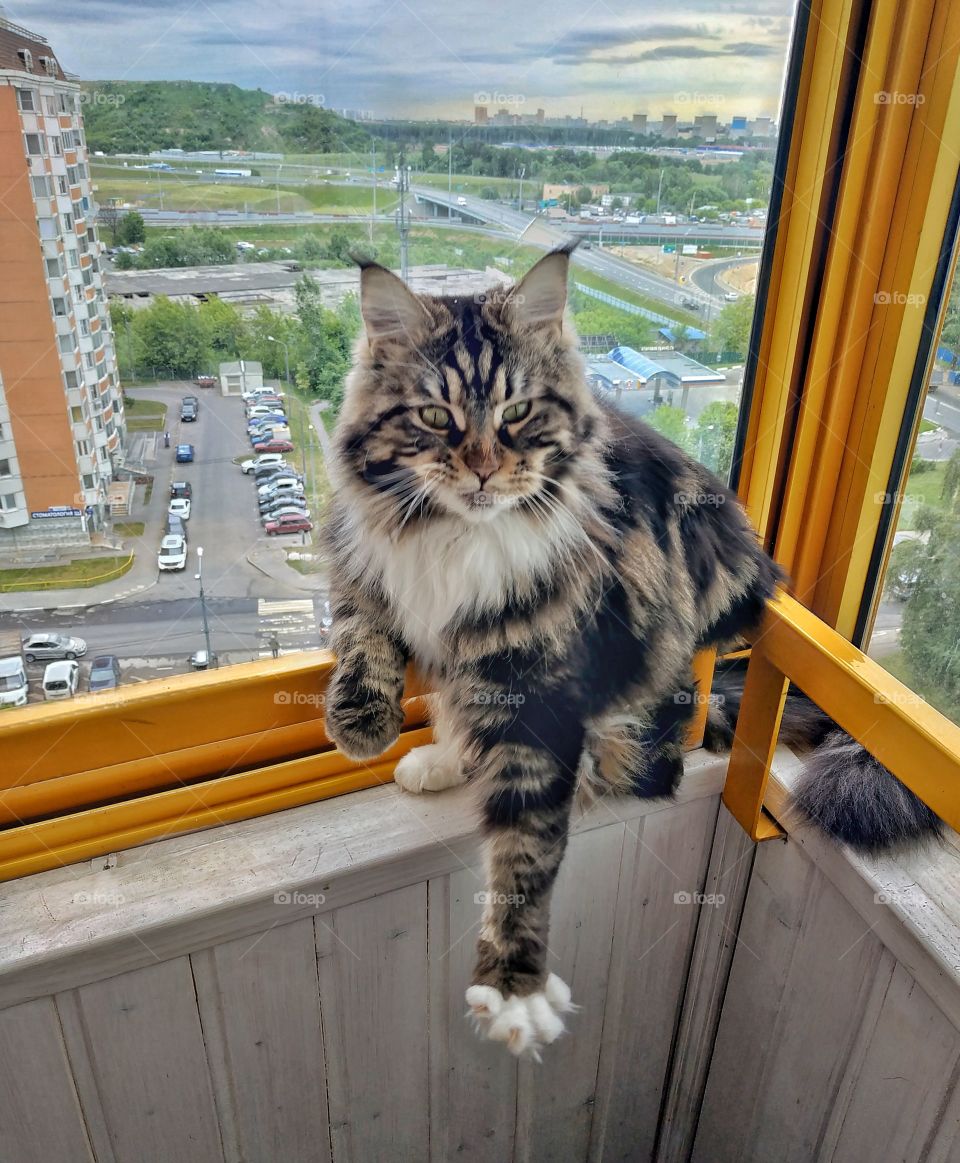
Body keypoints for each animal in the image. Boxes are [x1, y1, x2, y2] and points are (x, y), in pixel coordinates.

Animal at [321, 247, 935, 1065]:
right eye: (434, 417)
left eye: (517, 414)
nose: (482, 469)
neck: (460, 538)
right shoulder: (373, 571)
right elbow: (363, 635)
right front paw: (364, 725)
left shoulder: (541, 689)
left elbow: (522, 856)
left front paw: (514, 992)